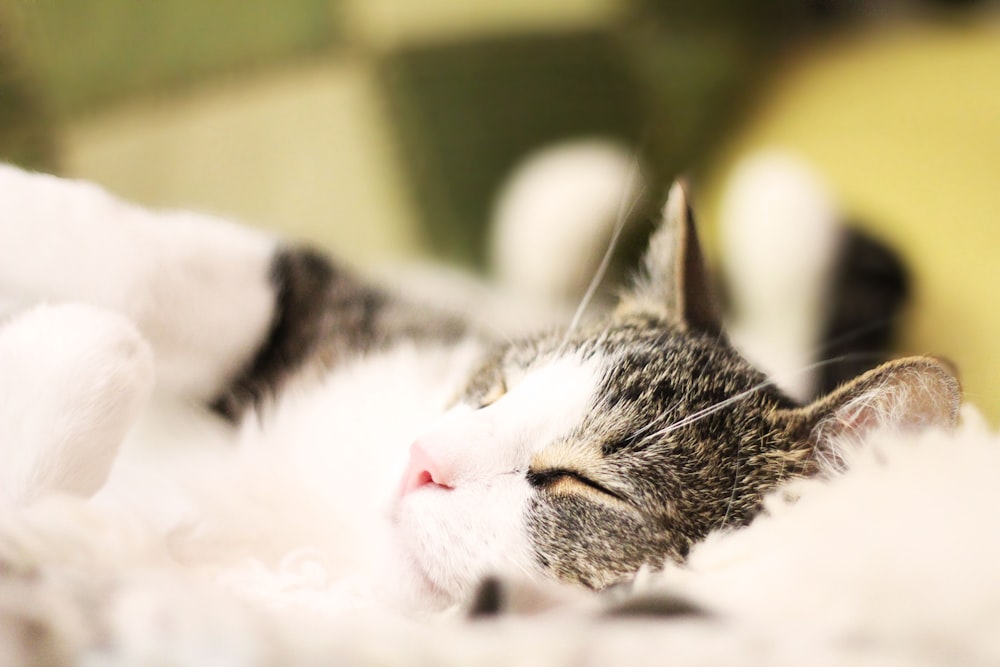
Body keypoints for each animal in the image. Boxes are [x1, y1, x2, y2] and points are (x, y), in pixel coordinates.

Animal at [0, 163, 956, 620]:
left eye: (582, 483)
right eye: (498, 387)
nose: (421, 457)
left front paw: (75, 349)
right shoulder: (357, 319)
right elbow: (159, 262)